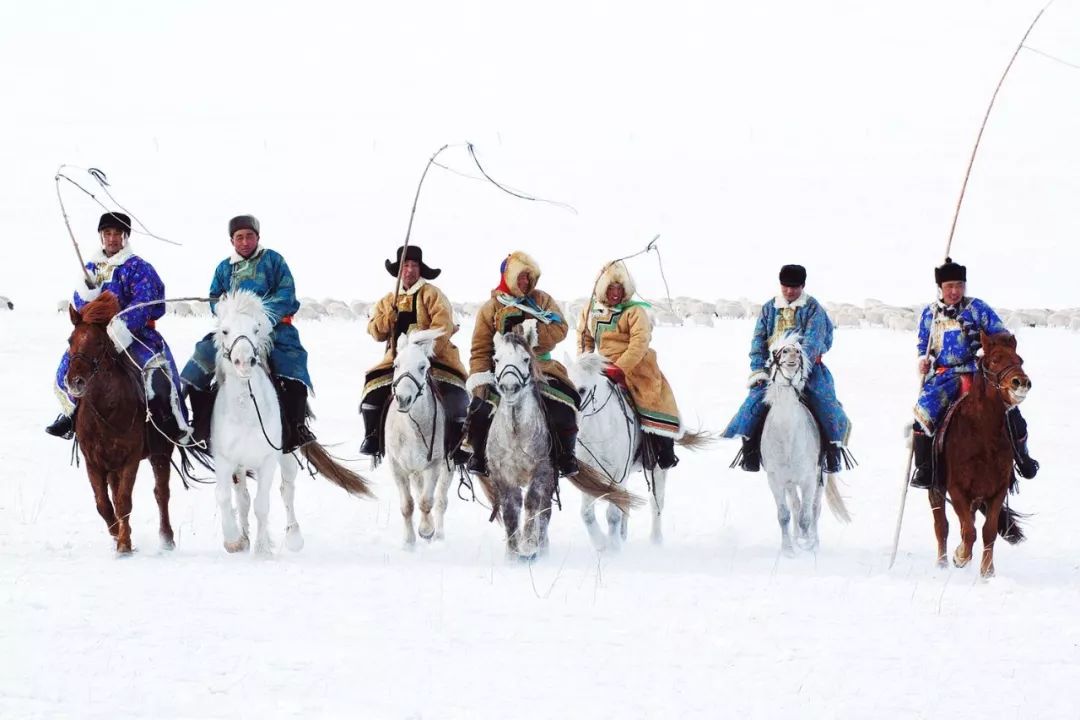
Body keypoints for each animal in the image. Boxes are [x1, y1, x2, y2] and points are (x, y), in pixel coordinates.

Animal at [65, 289, 197, 557]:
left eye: (99, 342)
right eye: (70, 340)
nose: (76, 381)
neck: (106, 409)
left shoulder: (130, 458)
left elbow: (124, 501)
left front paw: (124, 545)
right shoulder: (93, 461)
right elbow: (104, 504)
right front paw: (118, 536)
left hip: (160, 452)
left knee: (161, 493)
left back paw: (167, 539)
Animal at [210, 289, 375, 557]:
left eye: (256, 329)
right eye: (225, 330)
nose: (244, 361)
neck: (247, 410)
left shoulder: (267, 460)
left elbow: (262, 504)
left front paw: (262, 550)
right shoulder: (225, 460)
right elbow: (226, 497)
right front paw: (234, 541)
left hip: (287, 453)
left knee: (286, 489)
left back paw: (294, 538)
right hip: (241, 466)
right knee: (242, 497)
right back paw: (244, 537)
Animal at [384, 328, 451, 546]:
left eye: (423, 367)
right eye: (396, 365)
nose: (403, 399)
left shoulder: (434, 465)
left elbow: (426, 501)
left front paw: (426, 531)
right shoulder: (398, 467)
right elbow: (407, 505)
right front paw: (409, 542)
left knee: (440, 501)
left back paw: (438, 535)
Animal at [760, 334, 851, 557]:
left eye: (799, 350)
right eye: (775, 351)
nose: (792, 353)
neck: (787, 437)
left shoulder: (809, 479)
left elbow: (806, 516)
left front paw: (807, 544)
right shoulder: (776, 480)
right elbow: (784, 515)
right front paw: (788, 549)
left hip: (821, 476)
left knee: (814, 509)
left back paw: (813, 542)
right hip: (791, 483)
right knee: (795, 506)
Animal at [933, 330, 1032, 578]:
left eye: (1020, 360)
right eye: (995, 359)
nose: (1021, 383)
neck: (983, 436)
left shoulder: (996, 491)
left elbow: (988, 531)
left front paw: (987, 572)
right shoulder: (957, 489)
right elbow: (968, 531)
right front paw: (960, 556)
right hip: (935, 488)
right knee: (941, 525)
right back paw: (942, 563)